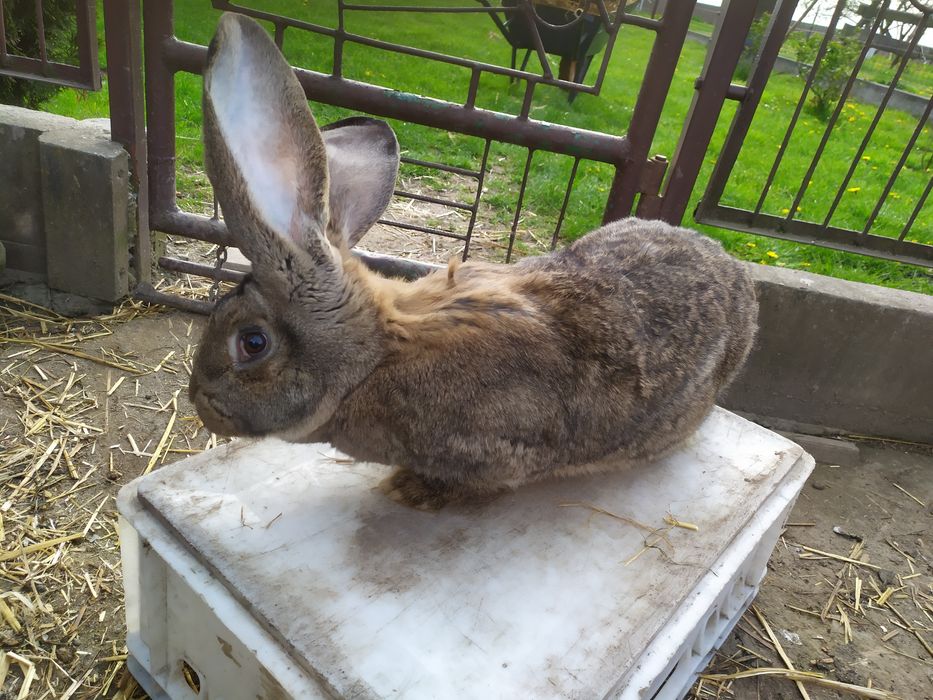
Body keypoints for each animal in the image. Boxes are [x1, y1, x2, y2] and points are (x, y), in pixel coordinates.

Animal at [187, 13, 756, 512]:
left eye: (252, 343)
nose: (199, 401)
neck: (374, 358)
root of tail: (740, 278)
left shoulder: (501, 451)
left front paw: (412, 492)